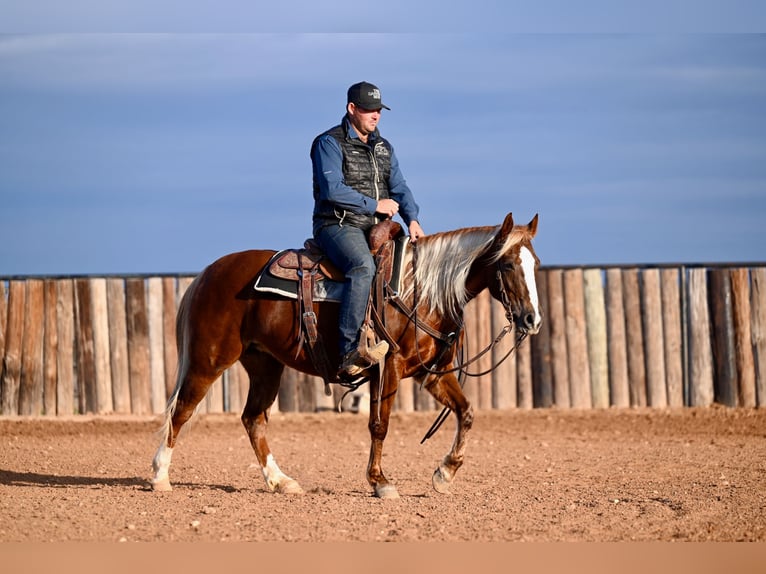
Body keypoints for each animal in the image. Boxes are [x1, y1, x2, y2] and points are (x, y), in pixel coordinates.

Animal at [152, 212, 540, 500]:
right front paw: (380, 482)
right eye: (507, 265)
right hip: (208, 360)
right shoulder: (388, 367)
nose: (532, 319)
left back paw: (281, 481)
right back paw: (160, 477)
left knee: (253, 419)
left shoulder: (433, 373)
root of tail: (208, 274)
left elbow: (466, 412)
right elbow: (379, 425)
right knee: (181, 411)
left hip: (265, 365)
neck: (421, 292)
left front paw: (445, 472)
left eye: (535, 264)